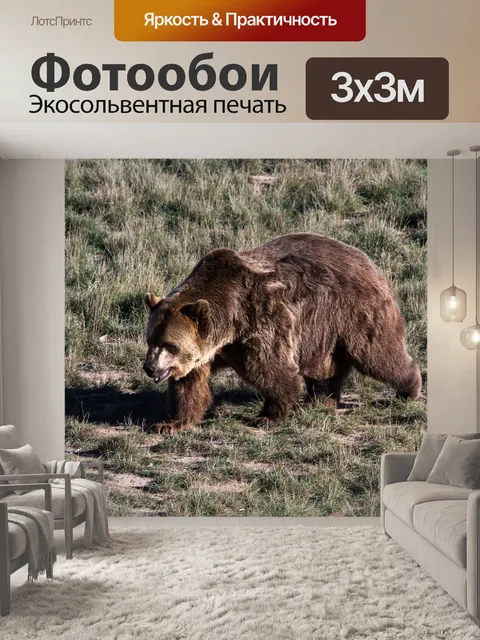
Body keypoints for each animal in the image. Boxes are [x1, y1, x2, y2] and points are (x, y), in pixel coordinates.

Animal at [143, 233, 421, 434]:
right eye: (151, 341)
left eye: (170, 345)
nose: (150, 367)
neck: (228, 324)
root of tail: (368, 260)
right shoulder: (206, 352)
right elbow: (189, 386)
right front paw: (170, 423)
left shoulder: (260, 321)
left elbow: (273, 370)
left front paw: (267, 416)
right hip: (323, 330)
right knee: (325, 368)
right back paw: (321, 399)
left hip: (355, 311)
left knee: (377, 354)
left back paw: (408, 388)